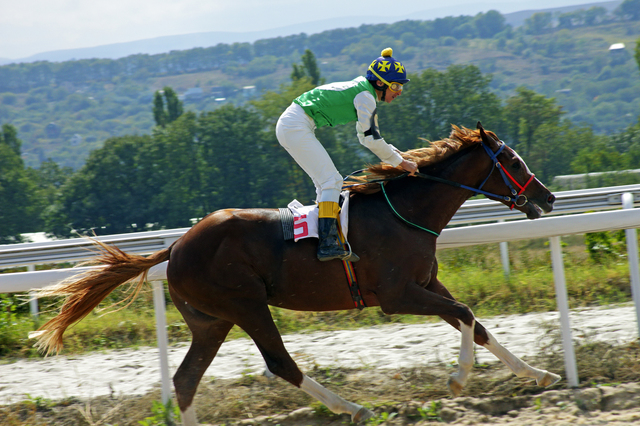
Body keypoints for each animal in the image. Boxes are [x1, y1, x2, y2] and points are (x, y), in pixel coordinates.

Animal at [31, 121, 560, 424]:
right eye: (513, 161)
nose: (549, 197)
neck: (405, 212)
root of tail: (175, 247)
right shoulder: (397, 295)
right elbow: (467, 313)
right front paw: (457, 380)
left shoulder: (426, 283)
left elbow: (478, 324)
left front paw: (539, 374)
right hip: (245, 304)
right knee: (280, 364)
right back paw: (353, 408)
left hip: (211, 321)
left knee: (185, 380)